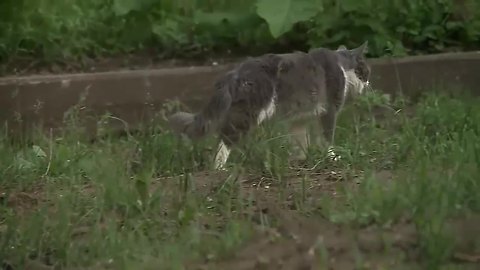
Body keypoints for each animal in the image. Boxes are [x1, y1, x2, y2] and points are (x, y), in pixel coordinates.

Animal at [168, 42, 372, 169]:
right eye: (365, 71)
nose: (369, 83)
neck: (342, 66)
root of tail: (236, 72)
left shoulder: (299, 119)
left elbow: (300, 141)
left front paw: (300, 160)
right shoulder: (329, 110)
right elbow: (327, 137)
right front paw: (332, 157)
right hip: (249, 113)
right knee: (225, 138)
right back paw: (219, 169)